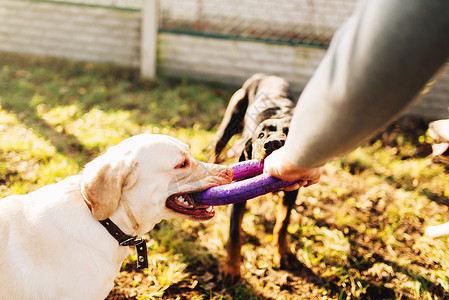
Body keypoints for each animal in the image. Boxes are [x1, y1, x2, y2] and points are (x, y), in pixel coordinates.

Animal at [211, 72, 300, 282]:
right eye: (261, 135)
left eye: (290, 133)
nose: (273, 144)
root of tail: (263, 75)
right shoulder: (237, 197)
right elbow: (234, 233)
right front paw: (231, 268)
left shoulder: (293, 192)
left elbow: (283, 222)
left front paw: (283, 253)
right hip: (228, 126)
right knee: (216, 150)